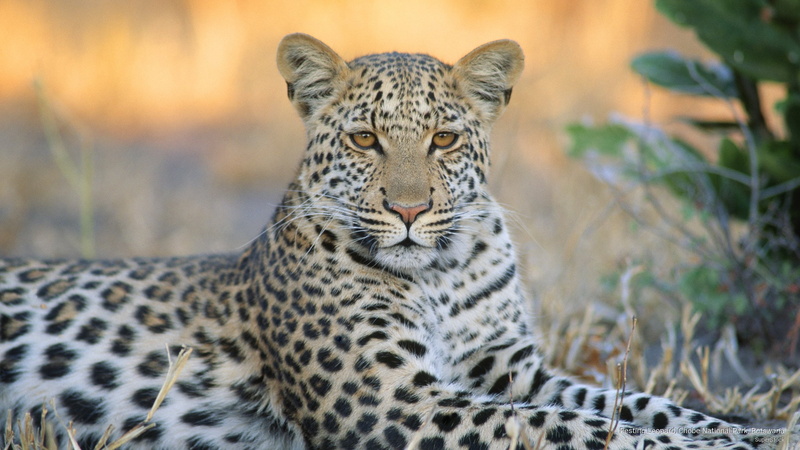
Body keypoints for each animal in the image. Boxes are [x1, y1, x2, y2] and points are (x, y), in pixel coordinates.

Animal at [0, 33, 776, 450]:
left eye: (444, 140)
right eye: (366, 139)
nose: (408, 210)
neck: (441, 272)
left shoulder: (509, 367)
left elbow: (632, 402)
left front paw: (745, 430)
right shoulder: (393, 401)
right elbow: (574, 427)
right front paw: (707, 442)